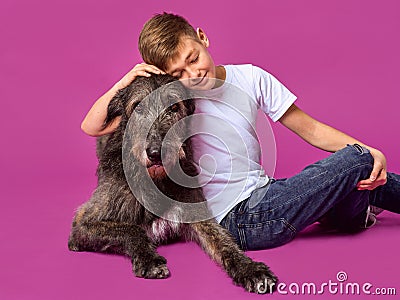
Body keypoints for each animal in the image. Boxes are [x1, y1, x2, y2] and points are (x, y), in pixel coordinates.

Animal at [67, 74, 276, 292]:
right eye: (138, 107)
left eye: (174, 107)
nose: (155, 153)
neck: (156, 180)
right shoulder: (81, 226)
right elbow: (131, 229)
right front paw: (149, 260)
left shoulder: (198, 213)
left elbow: (223, 241)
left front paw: (249, 268)